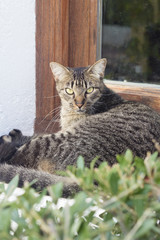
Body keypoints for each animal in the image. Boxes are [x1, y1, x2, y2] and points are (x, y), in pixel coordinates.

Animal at [0, 58, 160, 197]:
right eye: (69, 91)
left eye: (89, 90)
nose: (79, 104)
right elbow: (33, 134)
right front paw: (14, 135)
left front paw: (11, 138)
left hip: (50, 143)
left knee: (14, 157)